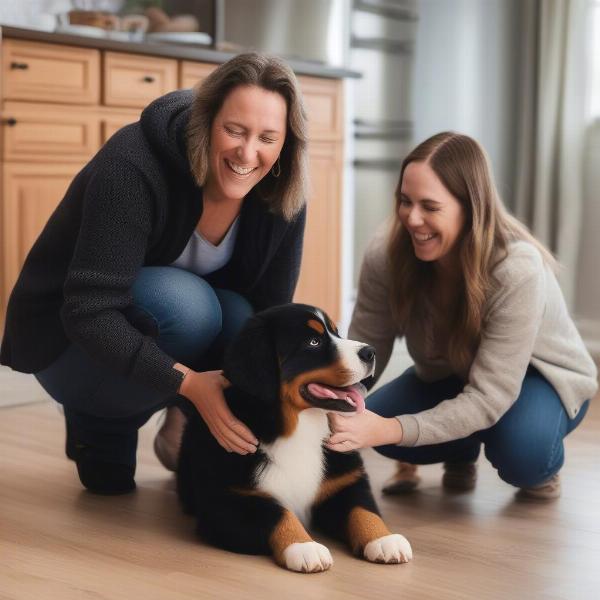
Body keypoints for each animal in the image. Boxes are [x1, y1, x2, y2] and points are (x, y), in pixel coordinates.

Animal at [177, 302, 412, 576]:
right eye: (313, 342)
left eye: (337, 332)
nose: (370, 352)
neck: (299, 429)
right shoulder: (225, 503)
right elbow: (278, 514)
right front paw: (304, 546)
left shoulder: (345, 483)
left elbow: (363, 510)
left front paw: (384, 539)